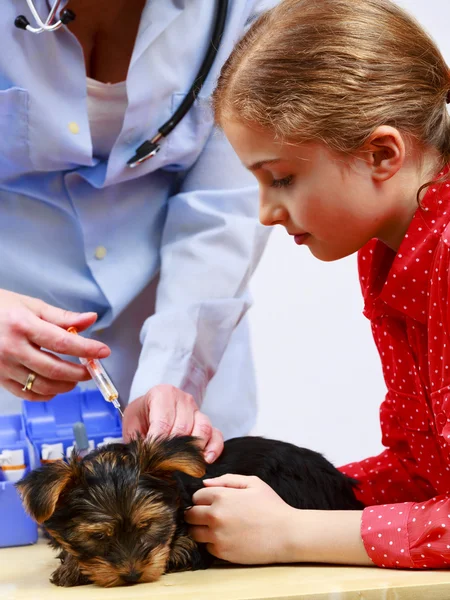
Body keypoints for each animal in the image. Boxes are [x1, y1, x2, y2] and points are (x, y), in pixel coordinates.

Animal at [15, 436, 364, 584]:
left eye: (147, 526)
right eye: (99, 536)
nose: (131, 576)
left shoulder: (192, 541)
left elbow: (176, 550)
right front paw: (72, 564)